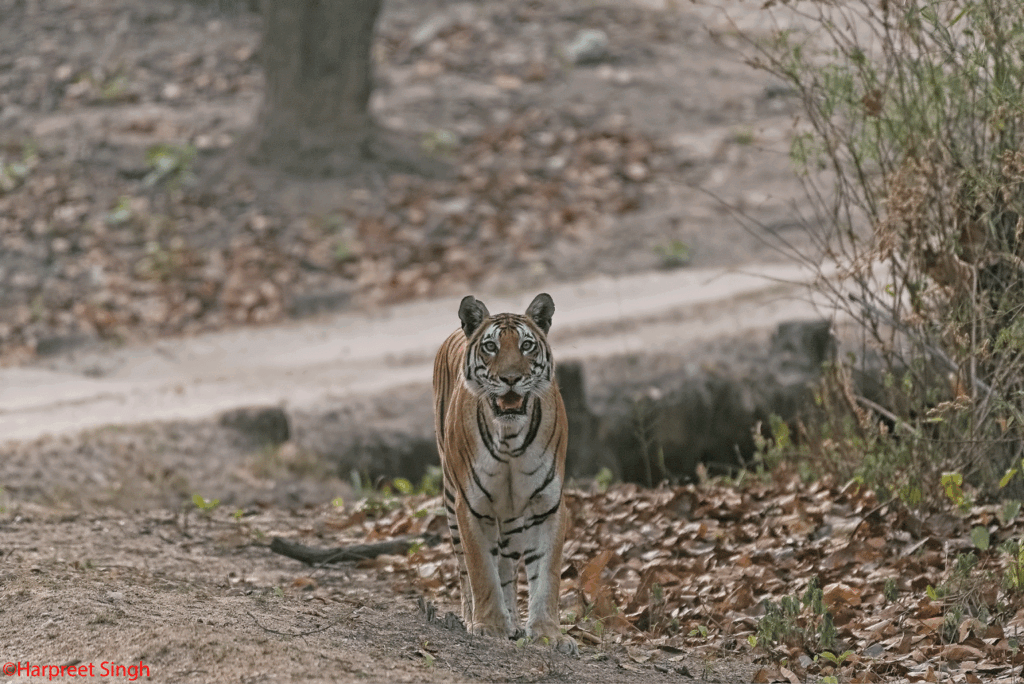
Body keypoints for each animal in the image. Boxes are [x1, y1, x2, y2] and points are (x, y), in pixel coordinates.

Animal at [432, 292, 578, 656]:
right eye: (490, 346)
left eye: (526, 346)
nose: (510, 379)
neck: (510, 438)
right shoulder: (470, 507)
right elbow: (481, 569)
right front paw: (488, 626)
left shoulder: (547, 505)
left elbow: (546, 574)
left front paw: (548, 634)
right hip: (450, 499)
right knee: (465, 568)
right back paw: (474, 617)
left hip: (511, 520)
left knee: (509, 567)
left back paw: (513, 619)